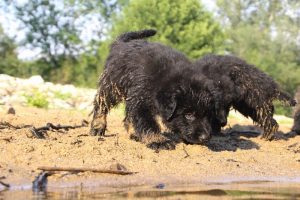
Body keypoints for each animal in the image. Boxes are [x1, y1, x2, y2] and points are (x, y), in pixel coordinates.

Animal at [90, 29, 224, 148]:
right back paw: (97, 126)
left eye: (208, 114)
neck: (164, 77)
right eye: (188, 115)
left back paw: (134, 133)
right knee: (101, 104)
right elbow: (147, 122)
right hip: (112, 85)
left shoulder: (136, 97)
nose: (205, 137)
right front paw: (158, 140)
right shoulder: (141, 99)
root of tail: (120, 43)